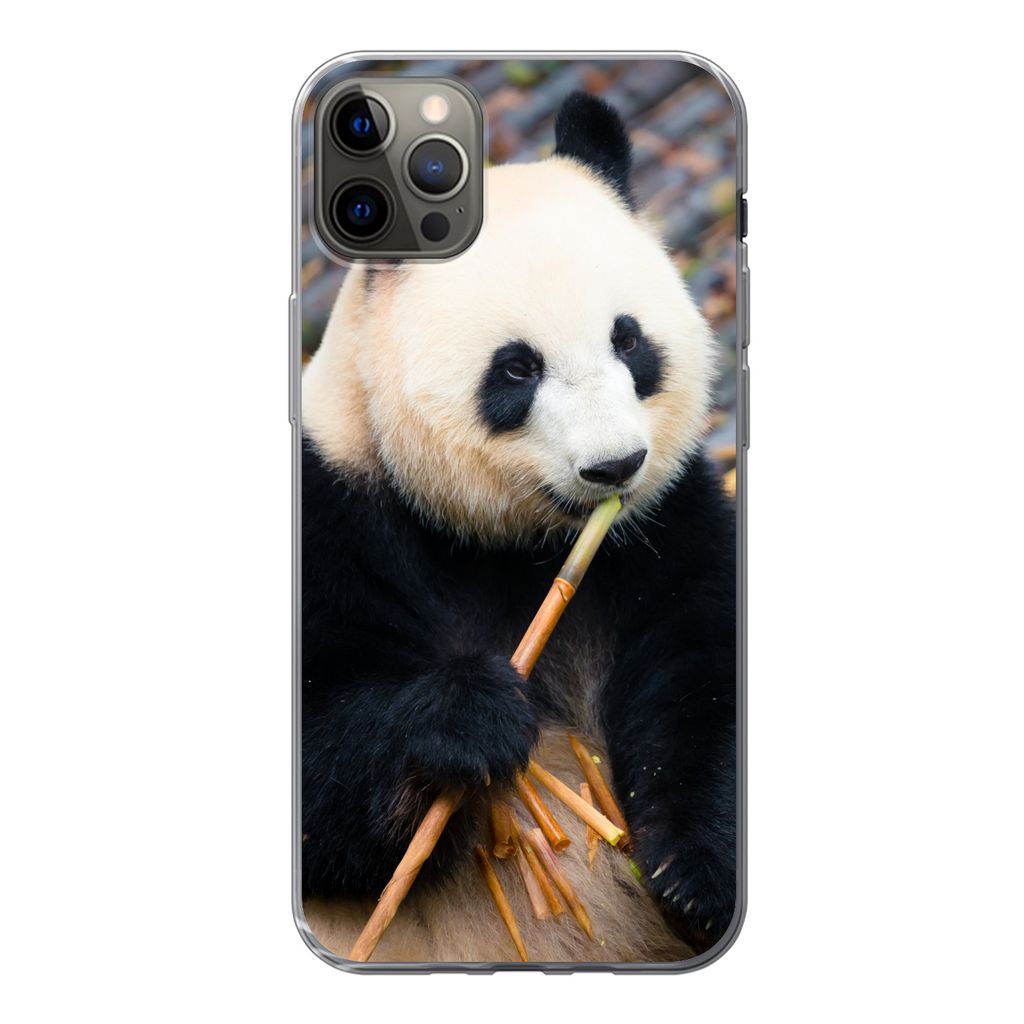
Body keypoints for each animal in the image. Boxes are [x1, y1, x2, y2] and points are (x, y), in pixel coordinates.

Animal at [299, 92, 737, 965]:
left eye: (629, 339)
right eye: (516, 367)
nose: (614, 467)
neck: (514, 546)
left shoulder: (665, 527)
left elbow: (702, 677)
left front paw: (693, 874)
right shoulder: (334, 519)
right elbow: (322, 781)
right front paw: (473, 714)